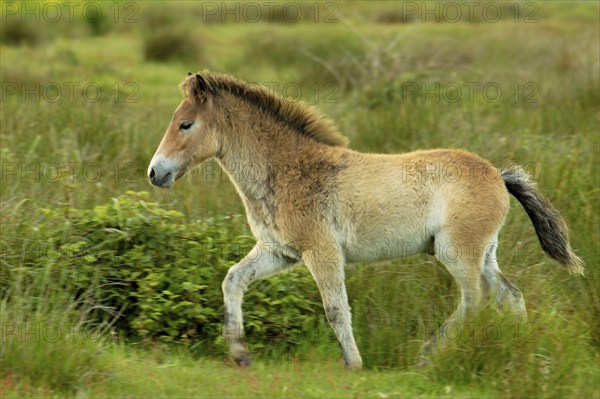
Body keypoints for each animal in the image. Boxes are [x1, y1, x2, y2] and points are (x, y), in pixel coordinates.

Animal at [148, 71, 584, 368]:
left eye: (185, 124)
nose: (155, 173)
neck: (287, 169)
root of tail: (497, 174)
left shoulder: (321, 252)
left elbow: (336, 309)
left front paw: (353, 364)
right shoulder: (278, 252)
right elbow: (233, 280)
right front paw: (240, 354)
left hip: (457, 252)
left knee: (476, 297)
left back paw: (427, 355)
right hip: (485, 253)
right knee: (511, 295)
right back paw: (524, 349)